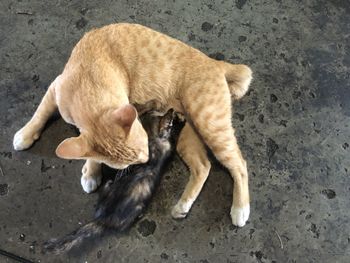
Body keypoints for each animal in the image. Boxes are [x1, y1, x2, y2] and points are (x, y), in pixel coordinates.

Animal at [13, 23, 253, 228]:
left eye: (146, 146)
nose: (146, 161)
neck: (87, 83)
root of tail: (215, 62)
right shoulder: (56, 87)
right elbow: (41, 112)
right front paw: (26, 133)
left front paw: (91, 172)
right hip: (188, 134)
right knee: (203, 167)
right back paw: (183, 206)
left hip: (210, 124)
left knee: (239, 164)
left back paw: (240, 209)